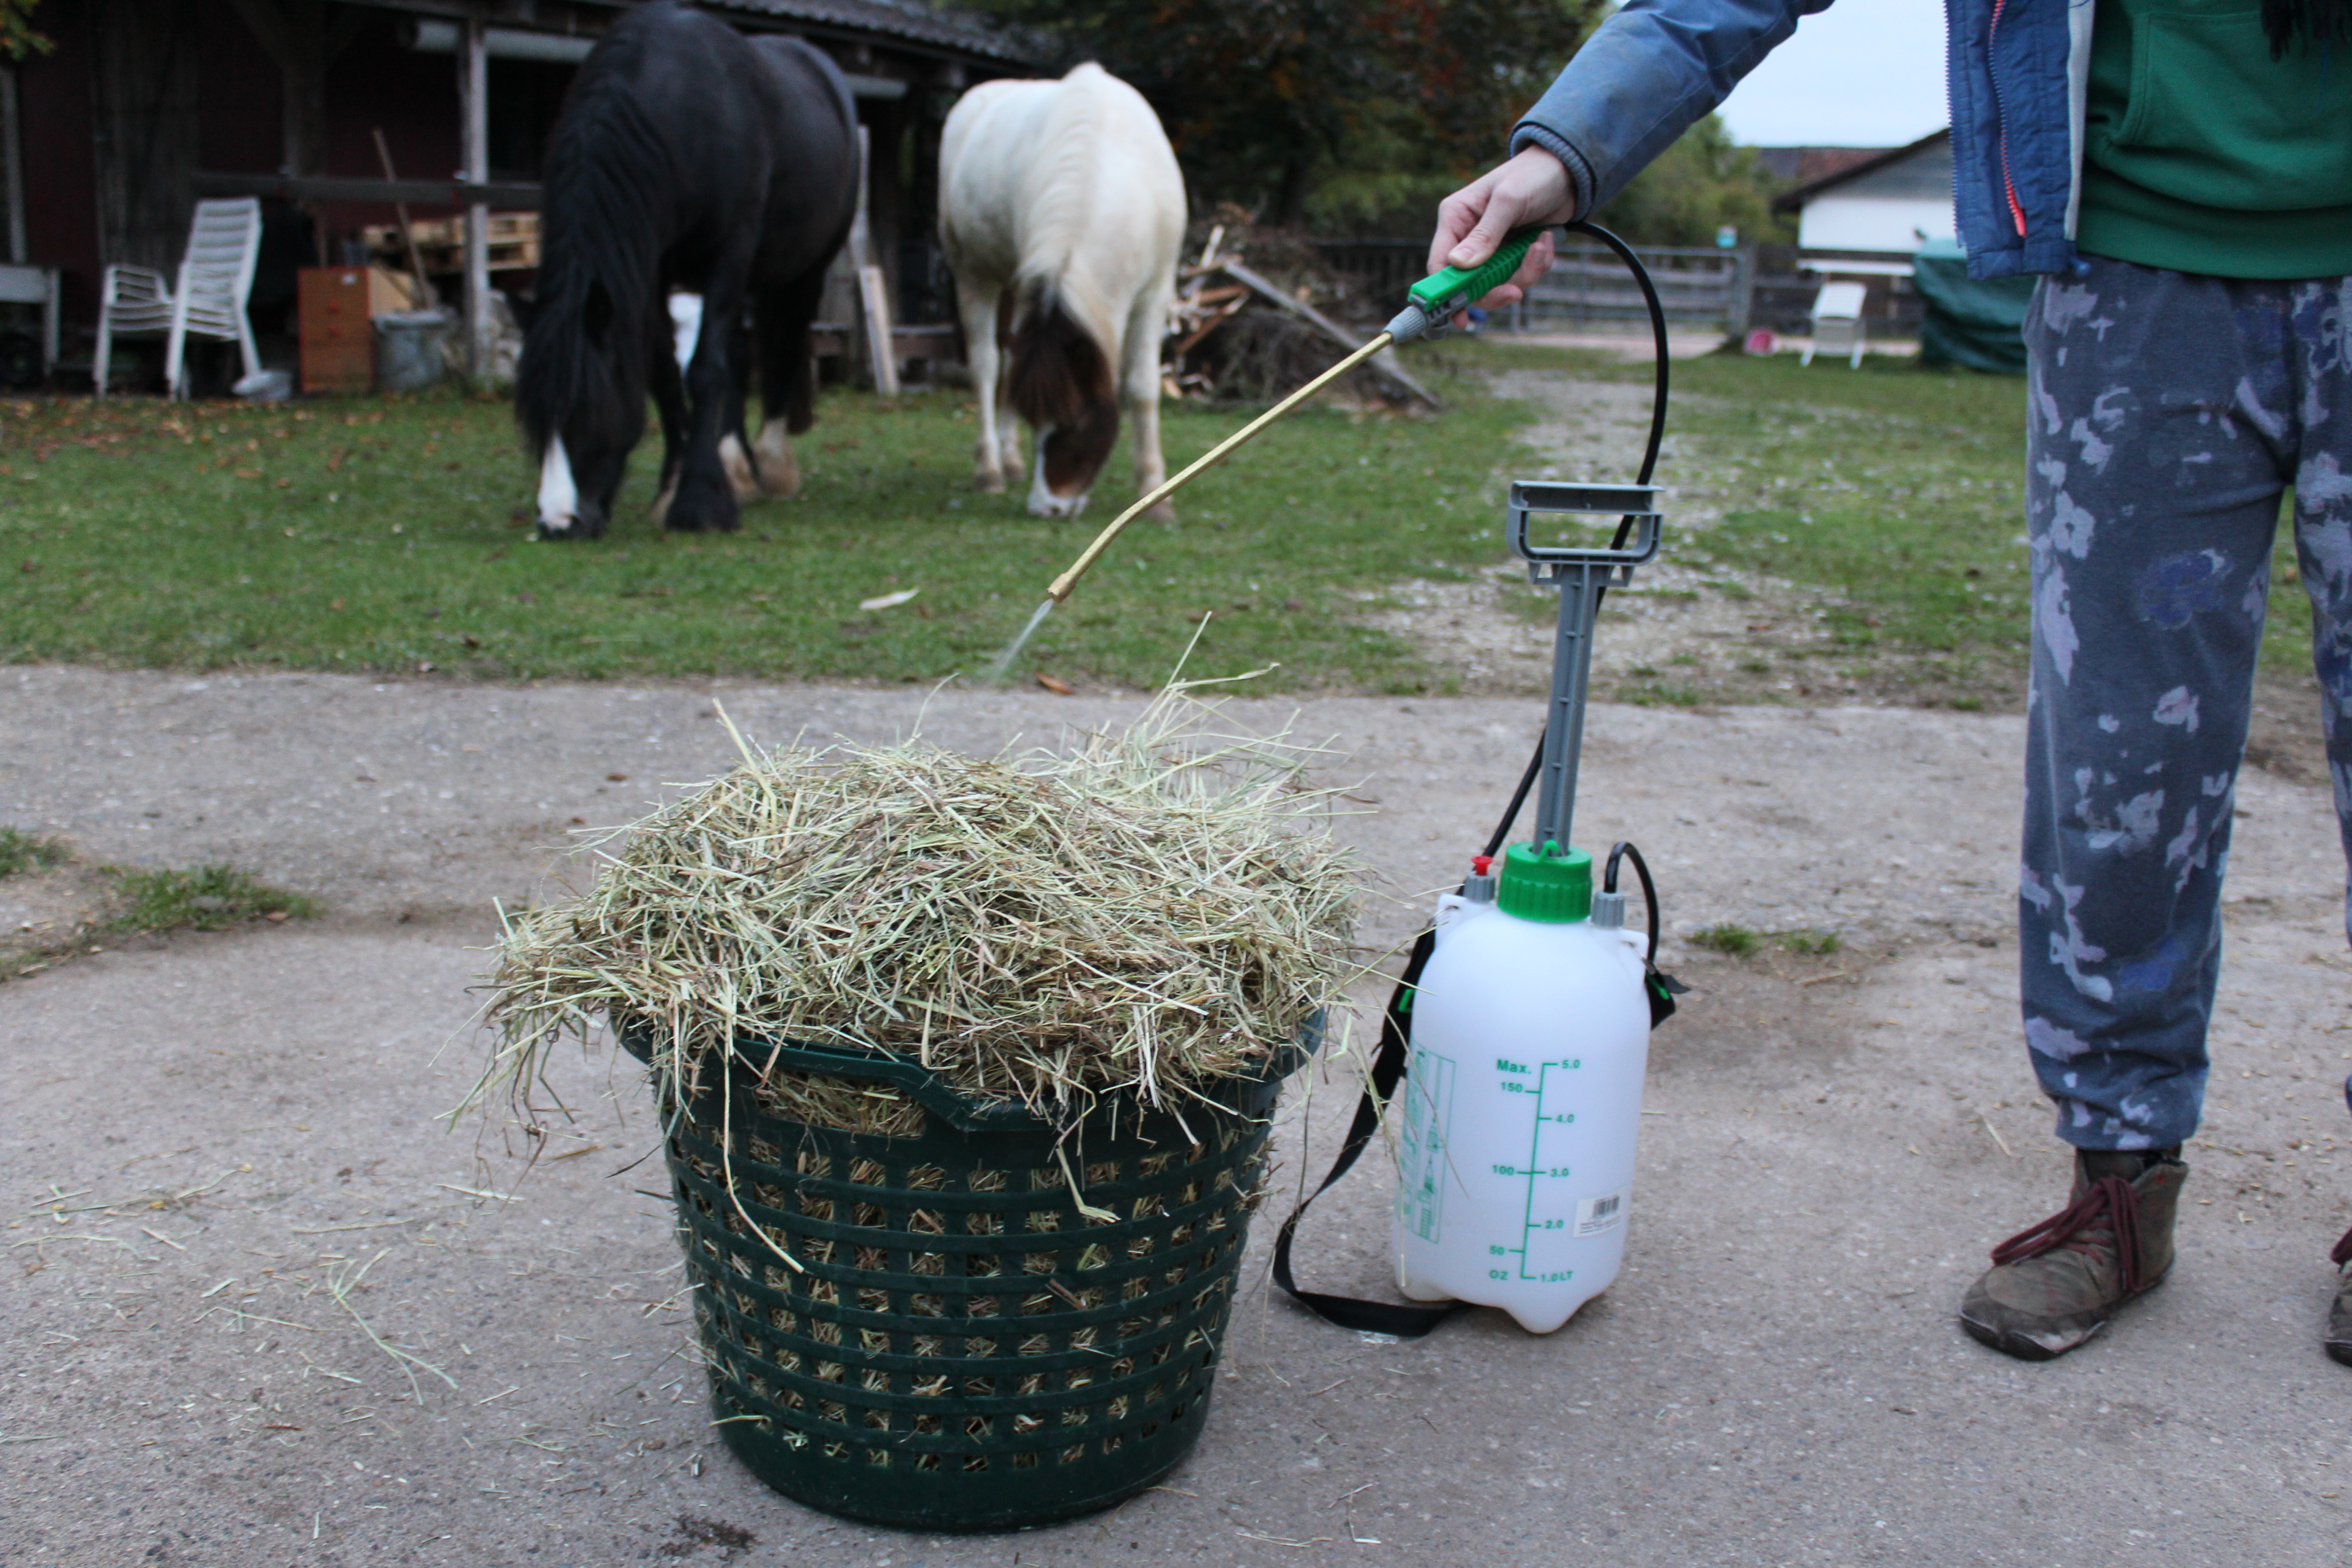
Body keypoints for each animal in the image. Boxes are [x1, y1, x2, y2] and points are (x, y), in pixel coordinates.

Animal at [524, 1, 865, 540]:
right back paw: (737, 467)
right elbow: (665, 373)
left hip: (803, 271)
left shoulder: (729, 255)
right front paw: (674, 485)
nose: (559, 522)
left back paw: (771, 465)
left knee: (783, 348)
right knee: (743, 355)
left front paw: (701, 503)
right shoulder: (652, 266)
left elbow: (705, 369)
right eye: (538, 421)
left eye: (590, 410)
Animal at [936, 63, 1185, 522]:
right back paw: (992, 468)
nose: (1047, 507)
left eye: (1074, 423)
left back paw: (1011, 461)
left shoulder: (1155, 292)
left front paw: (1155, 495)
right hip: (973, 272)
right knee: (987, 365)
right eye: (1040, 424)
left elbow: (1142, 388)